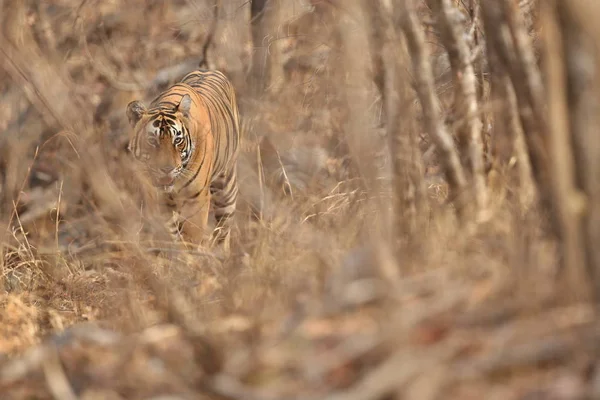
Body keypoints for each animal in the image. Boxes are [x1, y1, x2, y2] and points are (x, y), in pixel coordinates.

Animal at [125, 67, 240, 252]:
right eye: (152, 141)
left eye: (177, 140)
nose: (167, 169)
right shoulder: (159, 199)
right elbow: (169, 233)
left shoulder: (197, 198)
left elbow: (192, 235)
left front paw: (191, 255)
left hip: (226, 187)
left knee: (224, 228)